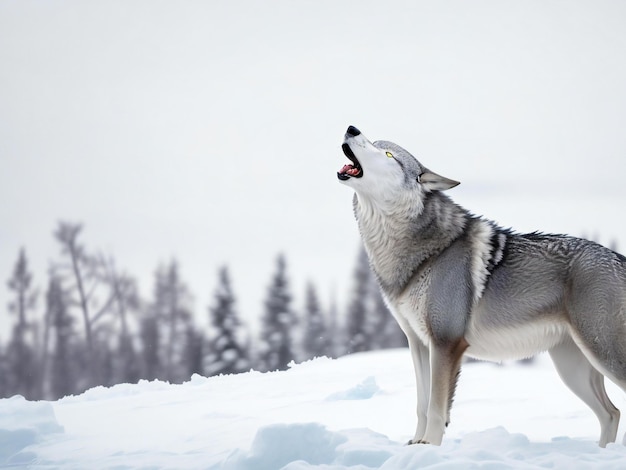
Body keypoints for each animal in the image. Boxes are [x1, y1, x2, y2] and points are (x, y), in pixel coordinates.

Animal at [336, 125, 624, 448]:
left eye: (387, 153)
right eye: (376, 142)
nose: (351, 128)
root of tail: (618, 257)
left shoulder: (446, 343)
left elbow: (436, 408)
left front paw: (430, 448)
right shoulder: (418, 343)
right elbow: (422, 405)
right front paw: (416, 447)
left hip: (601, 355)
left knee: (612, 410)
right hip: (573, 369)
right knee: (611, 413)